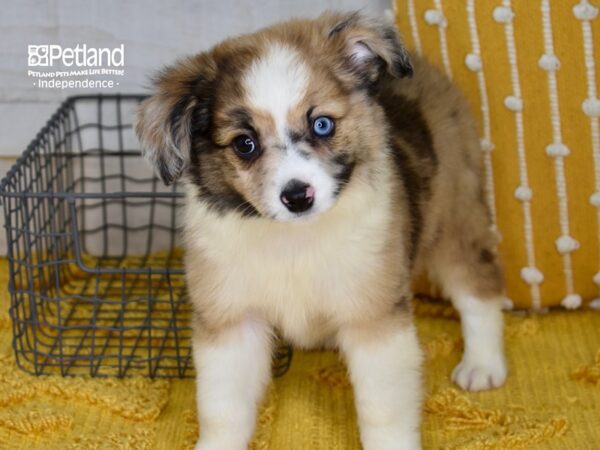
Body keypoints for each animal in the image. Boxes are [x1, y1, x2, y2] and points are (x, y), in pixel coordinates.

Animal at [135, 11, 506, 450]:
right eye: (245, 144)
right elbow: (223, 410)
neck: (294, 240)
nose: (298, 197)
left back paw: (483, 364)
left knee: (478, 289)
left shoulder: (373, 315)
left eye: (322, 124)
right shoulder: (231, 318)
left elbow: (383, 411)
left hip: (455, 217)